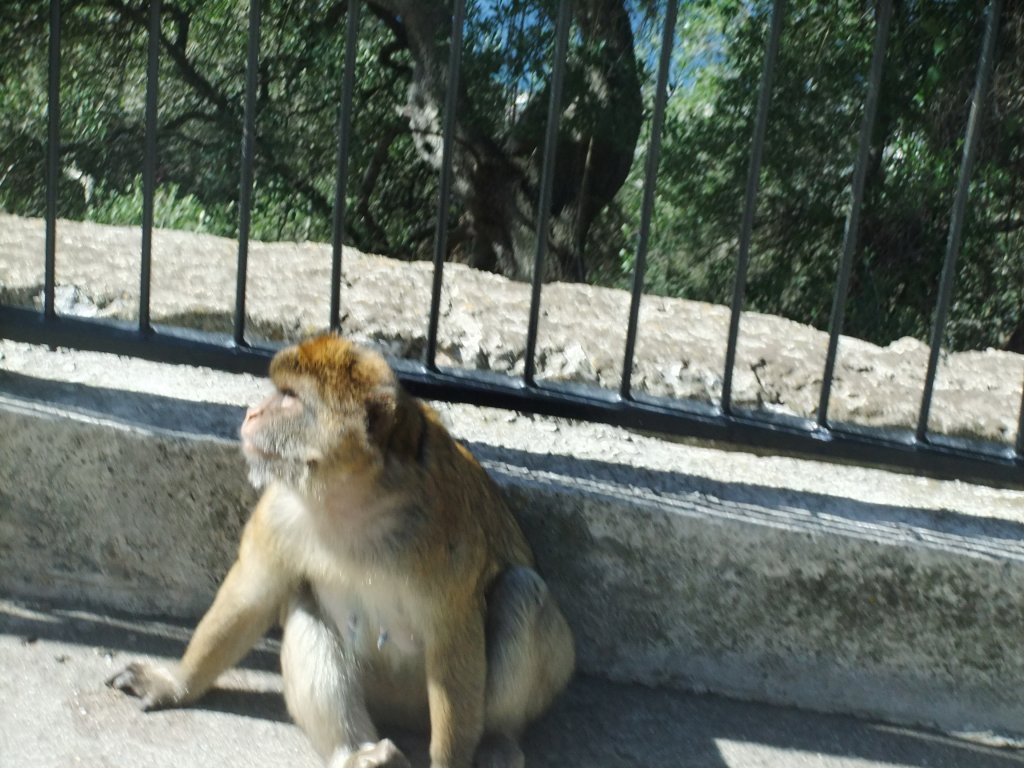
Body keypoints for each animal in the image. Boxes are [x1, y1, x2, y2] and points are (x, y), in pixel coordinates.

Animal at [107, 333, 575, 768]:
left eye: (290, 398)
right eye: (280, 392)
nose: (252, 413)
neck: (354, 496)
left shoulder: (445, 532)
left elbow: (452, 642)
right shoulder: (280, 511)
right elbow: (251, 597)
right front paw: (176, 682)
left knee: (521, 590)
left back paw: (497, 739)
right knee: (304, 607)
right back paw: (356, 753)